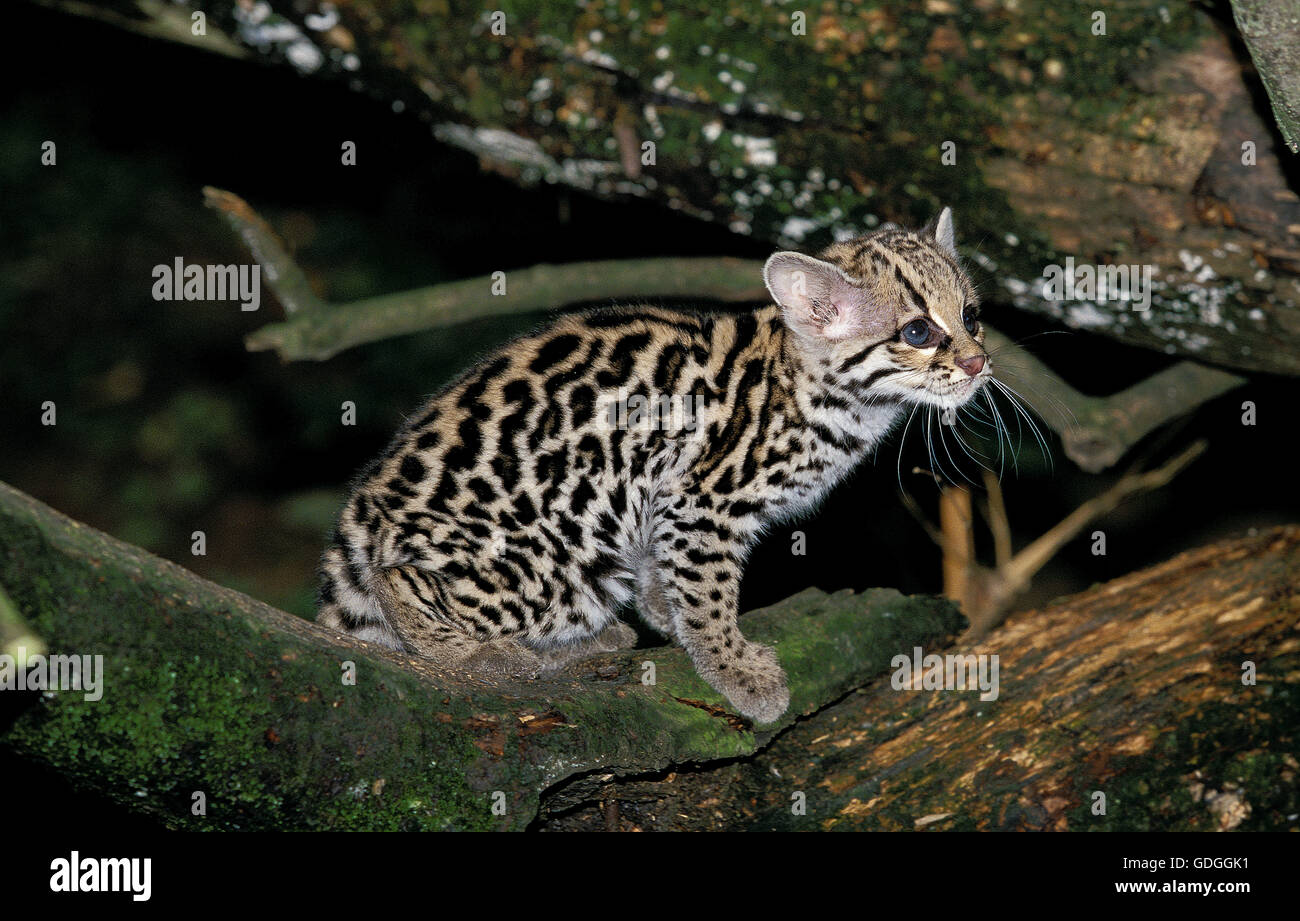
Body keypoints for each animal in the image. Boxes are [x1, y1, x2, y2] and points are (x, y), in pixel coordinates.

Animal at [319, 206, 987, 718]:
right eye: (918, 331)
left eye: (972, 317)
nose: (980, 362)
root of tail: (362, 518)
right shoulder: (702, 499)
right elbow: (709, 590)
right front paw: (734, 668)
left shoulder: (655, 500)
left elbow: (663, 565)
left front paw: (665, 610)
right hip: (554, 562)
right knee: (398, 580)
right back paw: (468, 651)